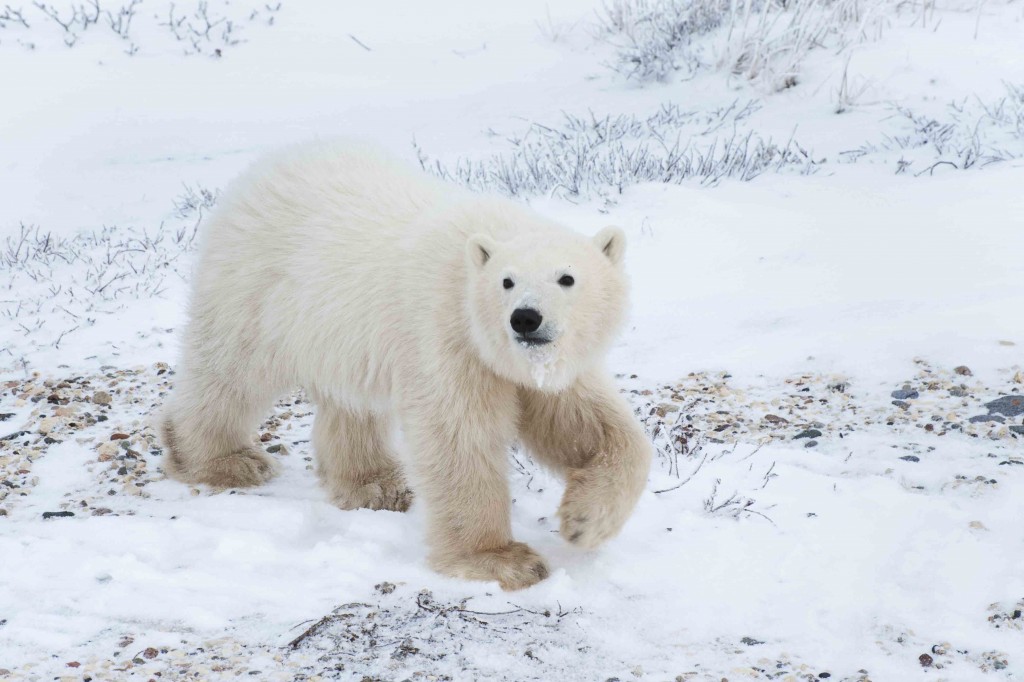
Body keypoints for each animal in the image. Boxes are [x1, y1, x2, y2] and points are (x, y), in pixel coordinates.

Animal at [159, 140, 651, 590]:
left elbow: (588, 426)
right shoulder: (446, 333)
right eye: (506, 281)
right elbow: (458, 437)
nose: (526, 318)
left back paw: (376, 484)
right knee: (230, 371)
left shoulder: (535, 365)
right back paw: (222, 460)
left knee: (349, 402)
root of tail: (262, 170)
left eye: (567, 277)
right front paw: (501, 560)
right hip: (256, 287)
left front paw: (584, 521)